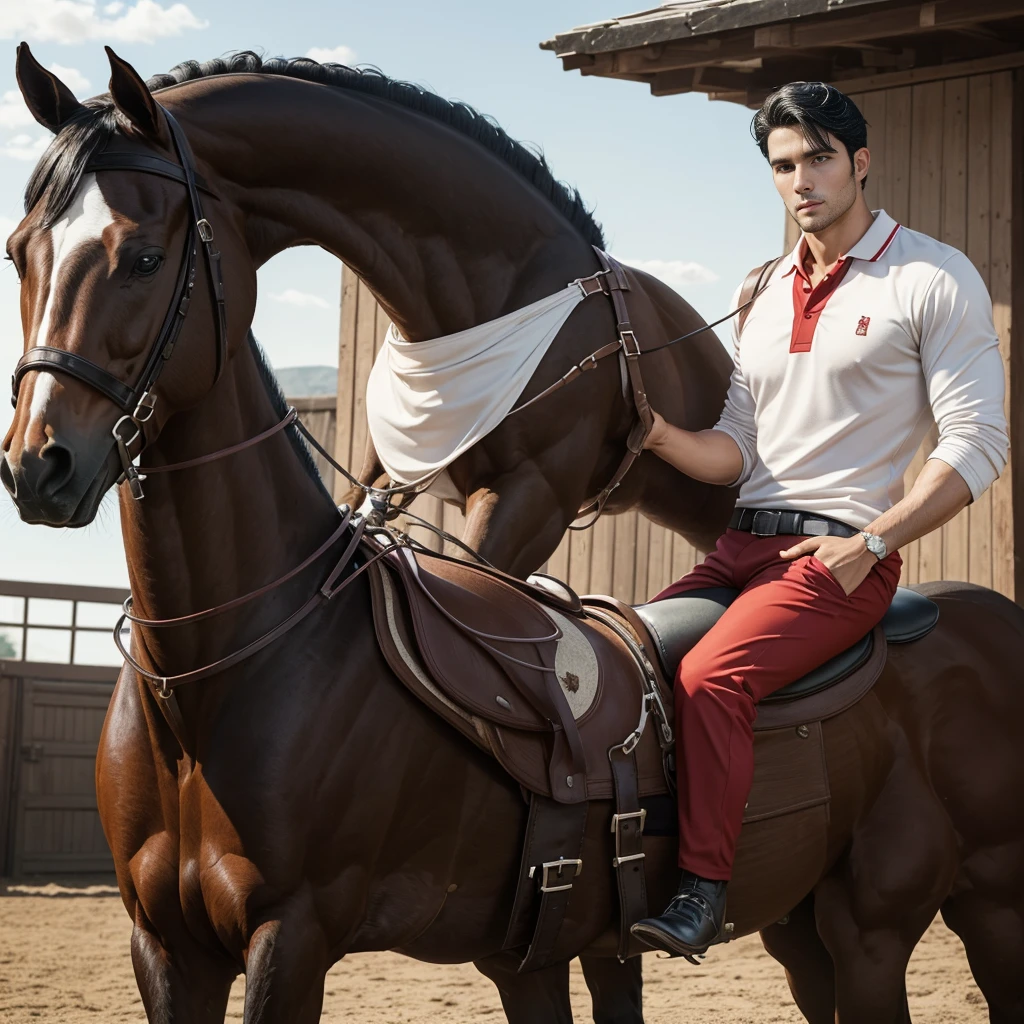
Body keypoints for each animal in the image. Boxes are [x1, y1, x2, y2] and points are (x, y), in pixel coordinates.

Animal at [6, 41, 1024, 1024]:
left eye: (142, 257)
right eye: (20, 254)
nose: (38, 463)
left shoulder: (291, 936)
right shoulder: (169, 948)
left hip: (907, 921)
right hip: (806, 927)